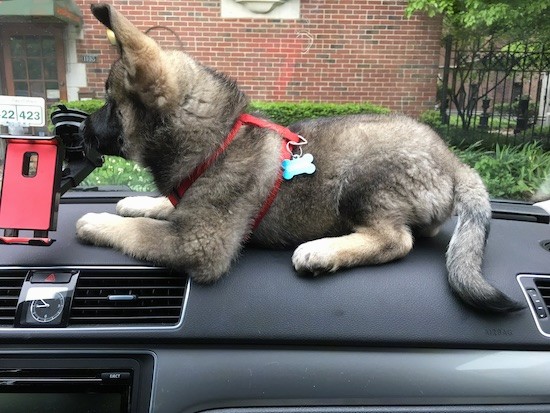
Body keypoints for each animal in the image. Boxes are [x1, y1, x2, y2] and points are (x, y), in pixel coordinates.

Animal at [75, 4, 524, 312]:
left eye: (110, 104)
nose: (79, 128)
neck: (218, 137)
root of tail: (453, 162)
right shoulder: (192, 209)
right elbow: (164, 207)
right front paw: (137, 201)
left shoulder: (199, 243)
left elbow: (140, 232)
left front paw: (97, 221)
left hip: (362, 180)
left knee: (397, 240)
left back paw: (322, 252)